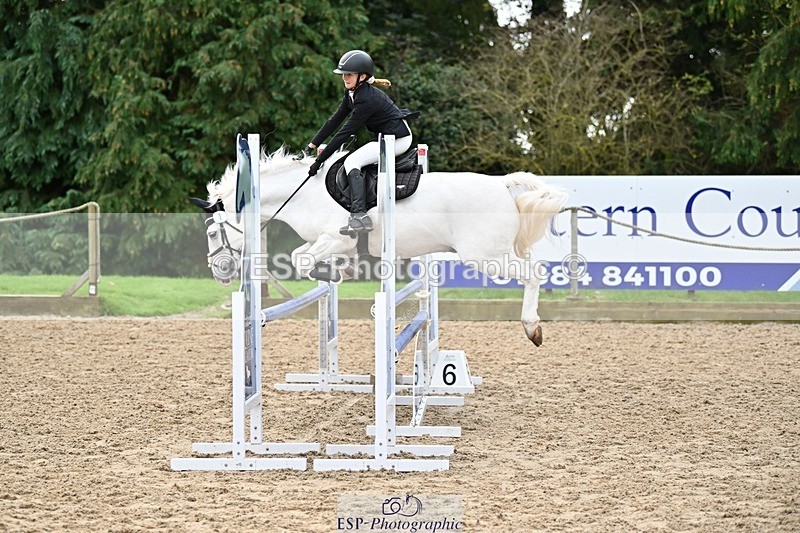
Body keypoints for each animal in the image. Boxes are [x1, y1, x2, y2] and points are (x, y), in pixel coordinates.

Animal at [191, 147, 567, 346]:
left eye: (211, 233)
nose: (219, 271)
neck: (302, 194)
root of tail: (502, 185)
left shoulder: (337, 237)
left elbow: (302, 260)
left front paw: (335, 272)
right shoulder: (325, 242)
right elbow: (302, 256)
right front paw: (339, 271)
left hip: (486, 257)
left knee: (534, 273)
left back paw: (532, 327)